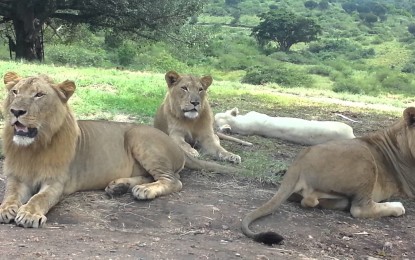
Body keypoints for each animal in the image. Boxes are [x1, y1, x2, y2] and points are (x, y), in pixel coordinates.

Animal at [0, 71, 239, 228]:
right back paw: (119, 187)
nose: (16, 111)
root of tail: (176, 145)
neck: (33, 147)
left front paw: (29, 214)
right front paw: (6, 209)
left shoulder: (56, 182)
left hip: (138, 137)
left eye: (39, 95)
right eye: (15, 92)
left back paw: (144, 191)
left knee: (173, 180)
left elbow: (39, 198)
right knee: (150, 176)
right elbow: (10, 194)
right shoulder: (16, 177)